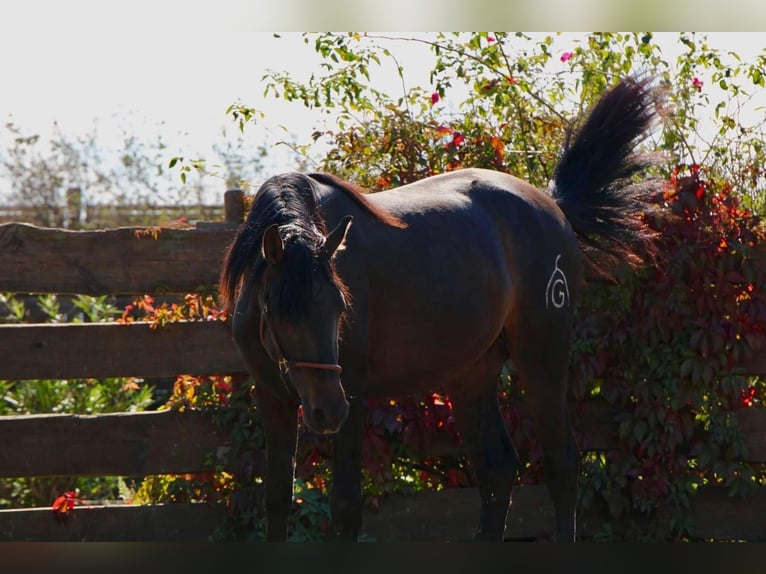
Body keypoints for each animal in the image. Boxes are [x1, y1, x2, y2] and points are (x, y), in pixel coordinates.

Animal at [219, 76, 659, 542]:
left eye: (340, 306)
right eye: (280, 312)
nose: (327, 410)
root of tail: (551, 205)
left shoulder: (352, 390)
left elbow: (346, 507)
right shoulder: (272, 397)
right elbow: (277, 500)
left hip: (543, 355)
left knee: (562, 467)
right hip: (471, 372)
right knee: (497, 468)